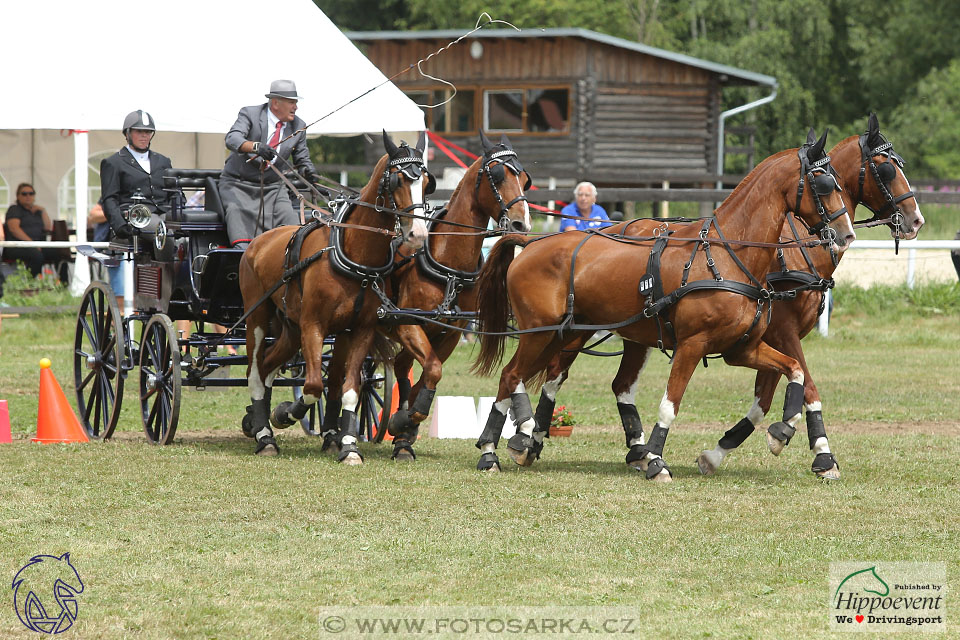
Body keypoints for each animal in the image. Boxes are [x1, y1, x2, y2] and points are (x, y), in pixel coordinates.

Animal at [240, 132, 432, 460]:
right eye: (397, 180)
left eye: (426, 181)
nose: (417, 234)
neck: (356, 254)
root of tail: (257, 242)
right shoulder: (313, 326)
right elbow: (313, 386)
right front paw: (286, 412)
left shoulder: (360, 329)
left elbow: (349, 389)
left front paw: (349, 446)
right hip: (258, 319)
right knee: (255, 373)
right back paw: (265, 436)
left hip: (291, 329)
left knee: (267, 369)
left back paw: (262, 422)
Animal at [318, 130, 536, 460]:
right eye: (497, 177)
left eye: (524, 178)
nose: (523, 223)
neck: (448, 262)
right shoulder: (409, 324)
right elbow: (431, 371)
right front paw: (402, 422)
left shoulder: (449, 332)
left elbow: (427, 377)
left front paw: (405, 429)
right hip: (346, 329)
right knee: (335, 377)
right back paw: (332, 434)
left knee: (398, 367)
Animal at [524, 115, 924, 480]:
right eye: (886, 169)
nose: (916, 219)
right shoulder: (782, 332)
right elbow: (805, 387)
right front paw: (820, 453)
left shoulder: (758, 338)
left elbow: (769, 396)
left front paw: (728, 449)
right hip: (578, 328)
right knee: (555, 375)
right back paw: (531, 438)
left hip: (636, 335)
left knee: (617, 384)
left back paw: (630, 451)